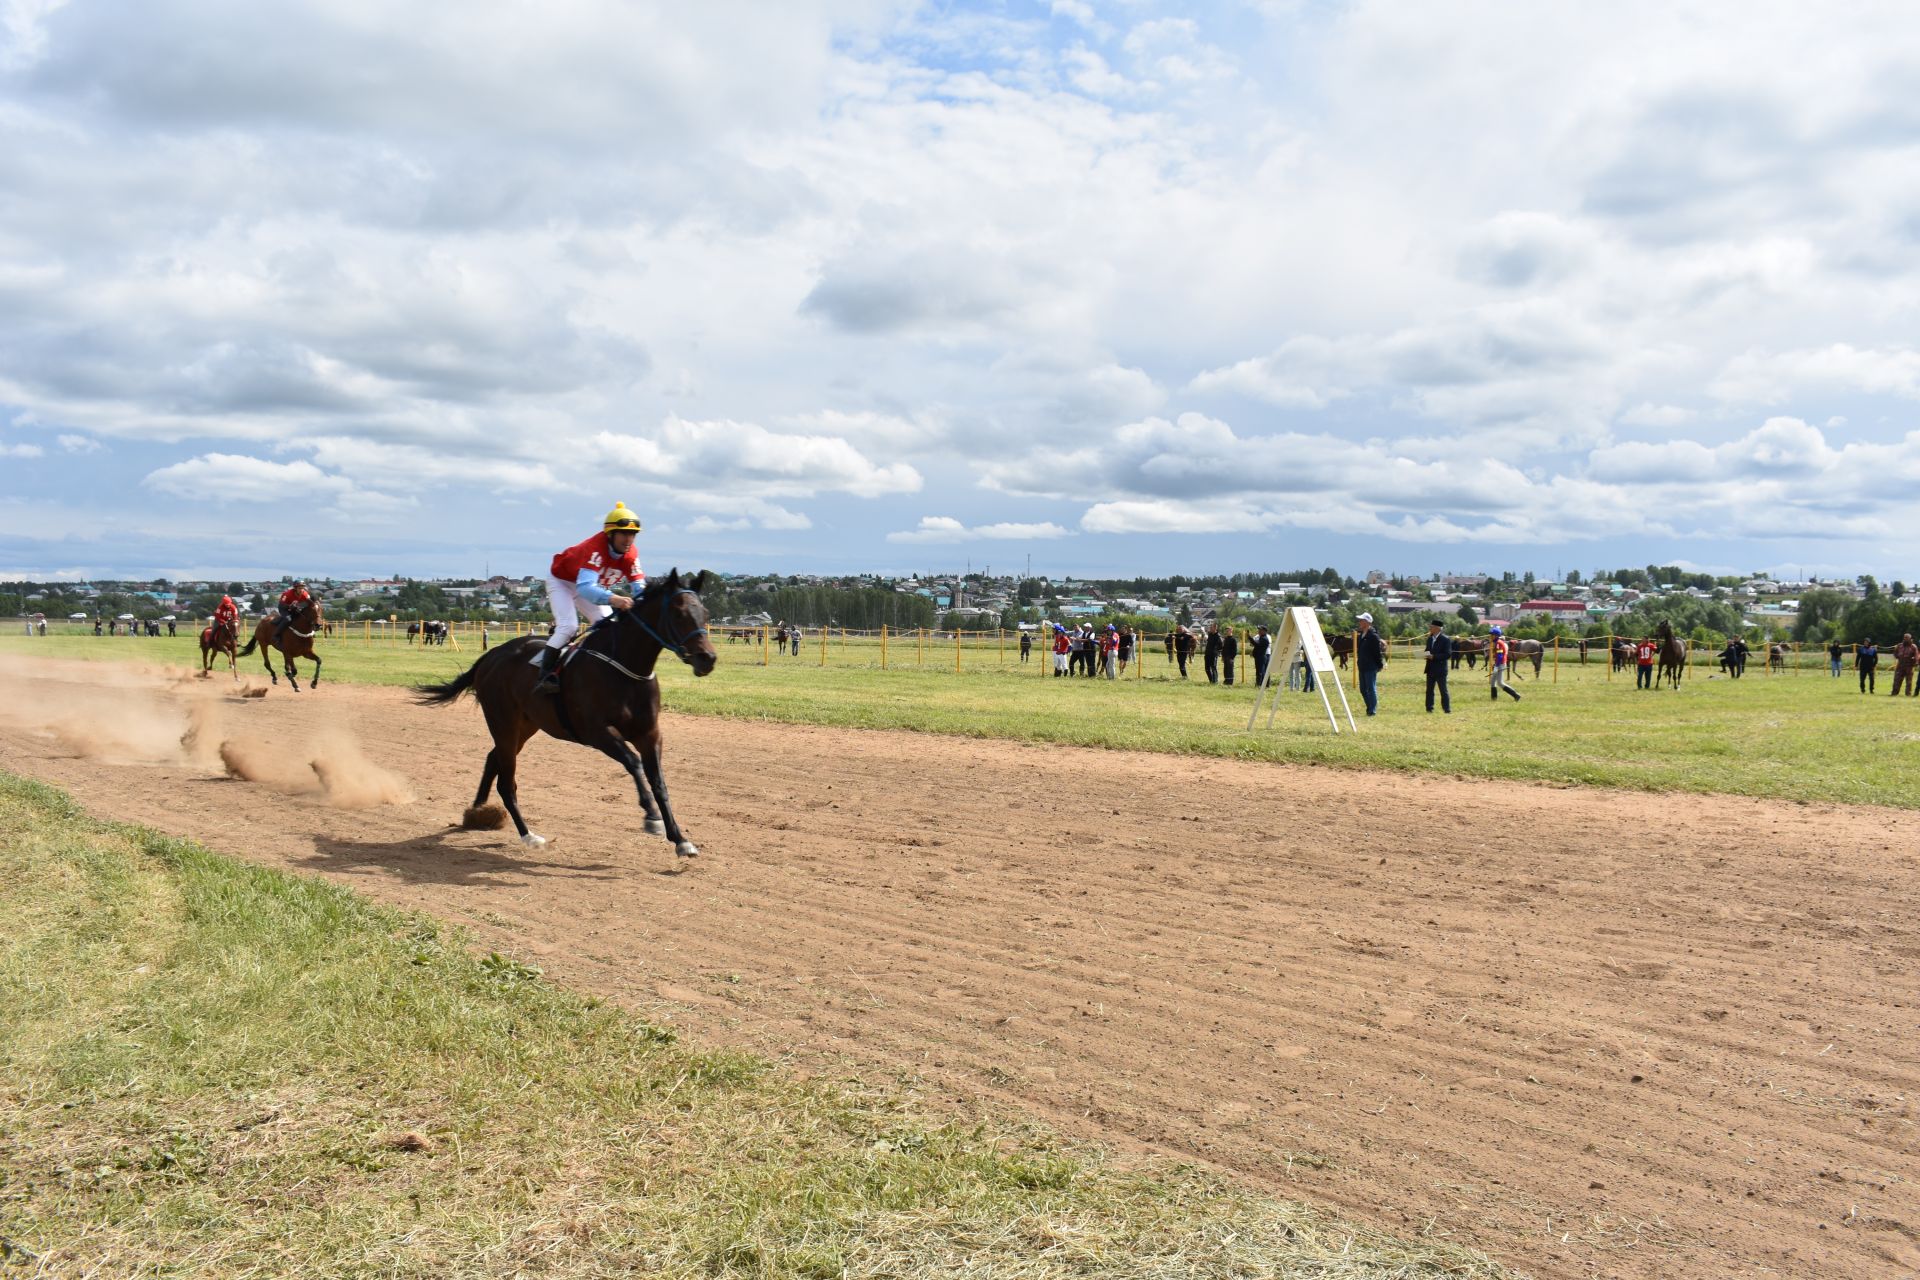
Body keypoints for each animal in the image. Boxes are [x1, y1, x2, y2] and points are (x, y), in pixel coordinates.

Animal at [416, 571, 718, 859]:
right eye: (679, 614)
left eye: (705, 614)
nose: (707, 659)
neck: (625, 669)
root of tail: (490, 656)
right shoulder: (597, 732)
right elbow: (634, 763)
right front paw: (651, 816)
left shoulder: (650, 734)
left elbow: (659, 783)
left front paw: (681, 840)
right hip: (503, 722)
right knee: (506, 782)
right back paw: (527, 835)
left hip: (525, 726)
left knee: (494, 760)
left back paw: (477, 812)